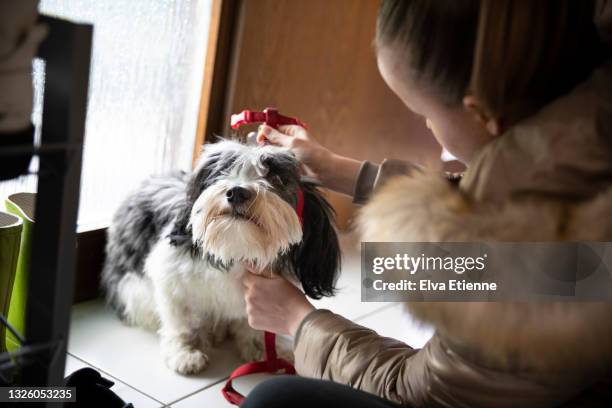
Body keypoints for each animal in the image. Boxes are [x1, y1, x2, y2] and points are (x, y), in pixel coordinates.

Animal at [100, 139, 340, 372]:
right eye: (223, 171)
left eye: (276, 178)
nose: (237, 192)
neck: (236, 248)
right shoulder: (169, 276)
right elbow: (179, 320)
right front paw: (184, 353)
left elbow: (252, 325)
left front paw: (261, 349)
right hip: (133, 287)